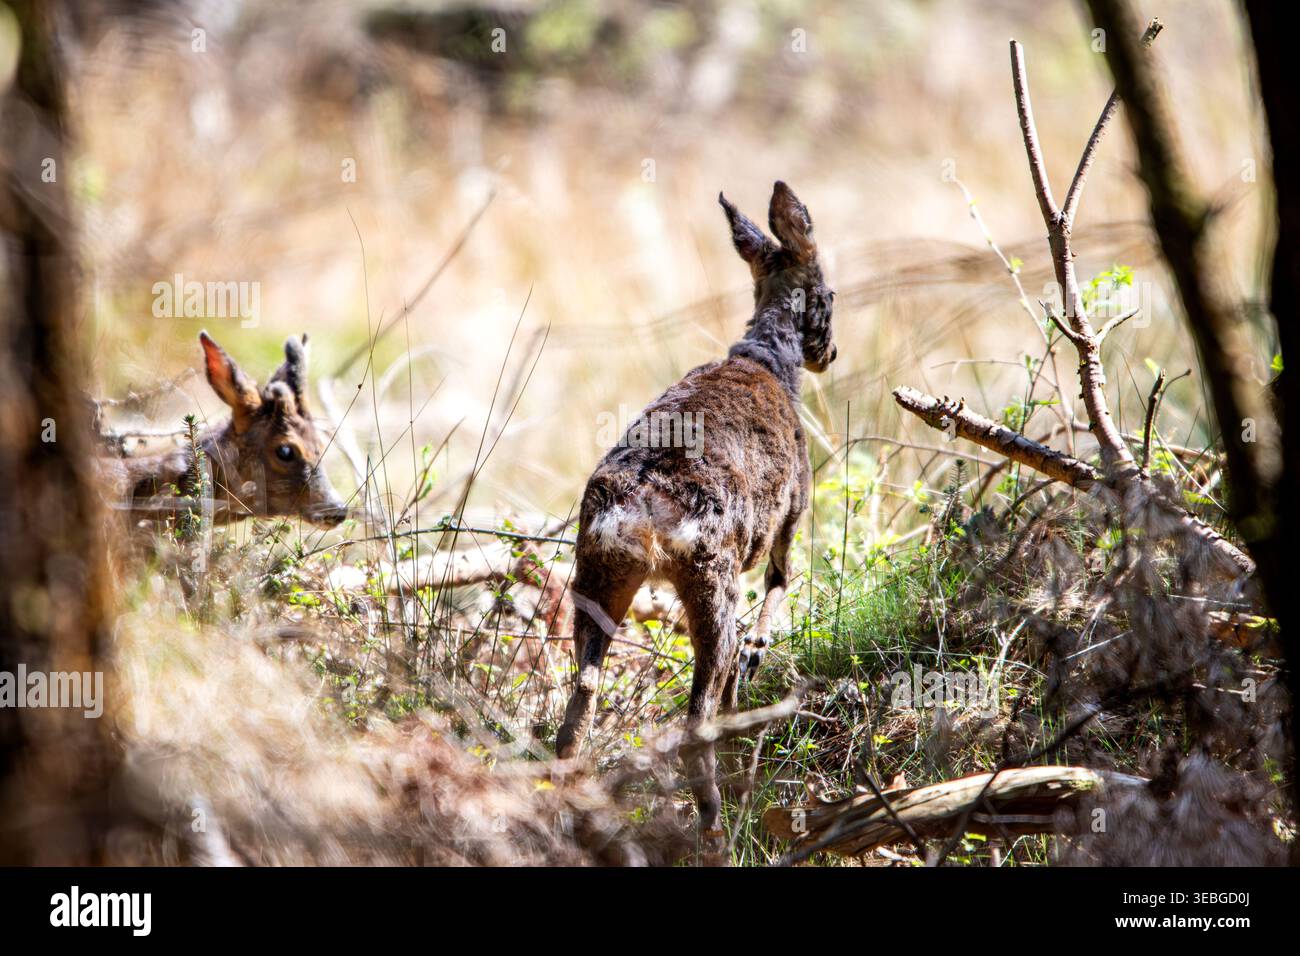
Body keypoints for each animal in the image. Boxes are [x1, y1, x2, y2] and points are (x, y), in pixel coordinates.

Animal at [555, 181, 835, 847]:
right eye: (832, 294)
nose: (831, 352)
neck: (767, 361)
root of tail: (641, 510)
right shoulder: (789, 516)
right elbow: (781, 583)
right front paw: (759, 651)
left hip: (597, 575)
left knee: (576, 712)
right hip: (711, 572)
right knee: (695, 718)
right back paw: (717, 829)